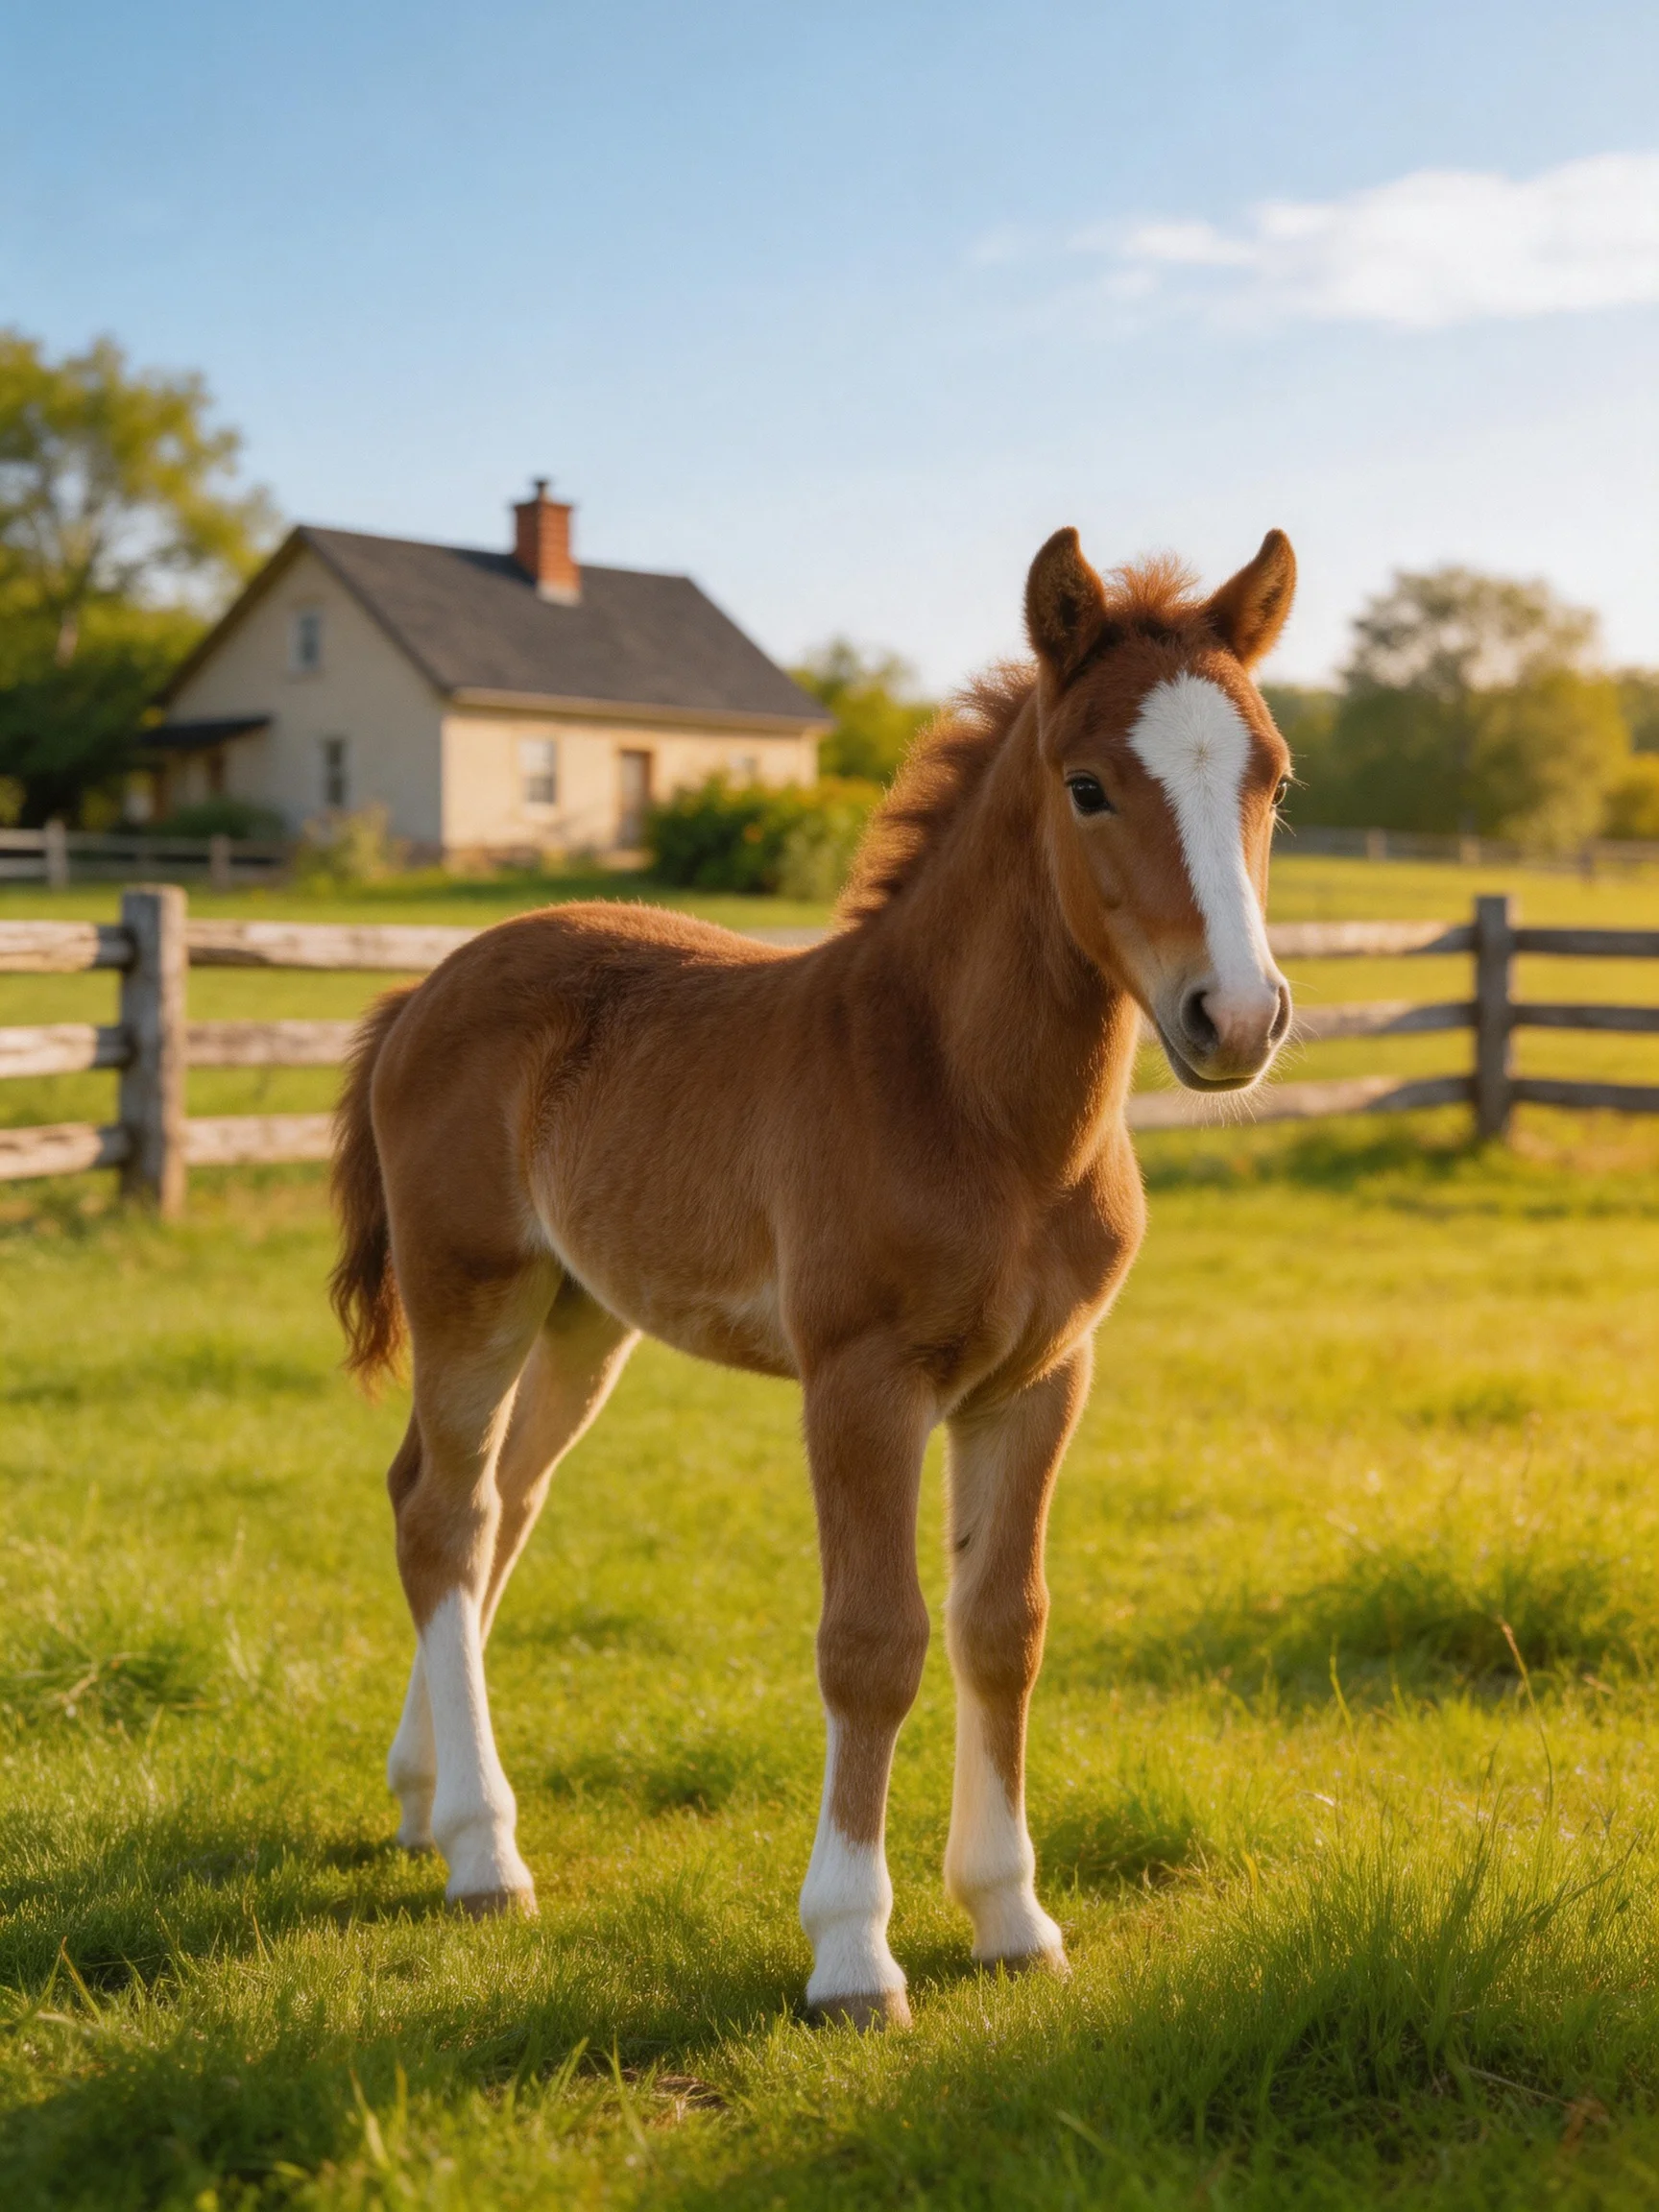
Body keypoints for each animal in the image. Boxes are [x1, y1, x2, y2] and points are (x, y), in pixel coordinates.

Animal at [330, 522, 1297, 2028]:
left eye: (1273, 782)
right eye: (1087, 784)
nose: (1237, 1018)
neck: (977, 1106)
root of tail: (424, 990)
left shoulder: (1041, 1381)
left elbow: (1002, 1628)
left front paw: (1013, 1919)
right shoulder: (861, 1383)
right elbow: (874, 1644)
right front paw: (852, 1955)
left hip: (582, 1318)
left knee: (488, 1506)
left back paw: (425, 1799)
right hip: (469, 1290)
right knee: (445, 1516)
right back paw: (486, 1855)